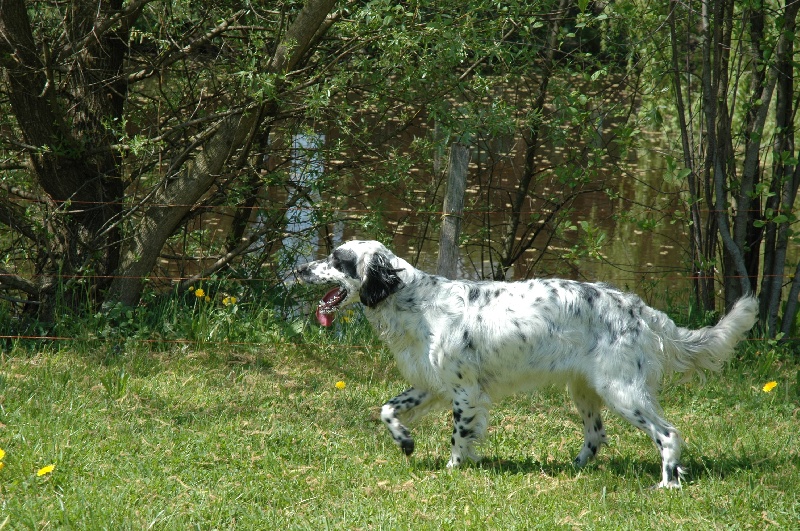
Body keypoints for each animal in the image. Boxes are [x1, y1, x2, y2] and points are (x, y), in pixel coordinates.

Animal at [296, 240, 758, 488]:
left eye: (337, 259)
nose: (299, 268)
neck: (414, 302)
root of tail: (635, 306)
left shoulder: (465, 392)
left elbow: (459, 437)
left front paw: (453, 469)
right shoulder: (431, 384)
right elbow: (387, 410)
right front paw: (405, 441)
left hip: (622, 390)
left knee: (667, 434)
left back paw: (667, 481)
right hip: (585, 390)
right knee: (596, 436)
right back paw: (571, 469)